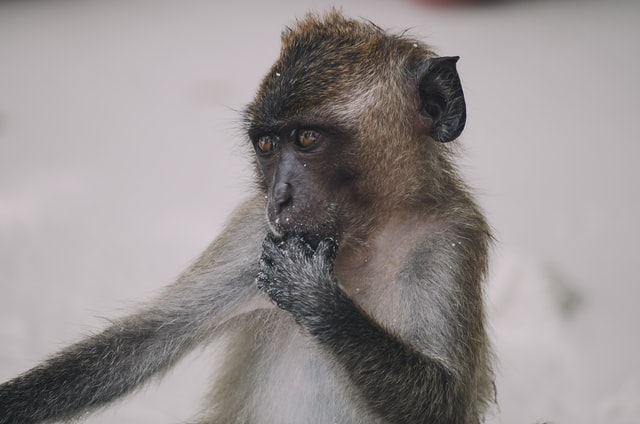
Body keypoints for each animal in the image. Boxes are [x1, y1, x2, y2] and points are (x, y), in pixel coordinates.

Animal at [0, 11, 494, 424]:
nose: (279, 197)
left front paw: (316, 296)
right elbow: (144, 341)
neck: (364, 234)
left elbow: (447, 401)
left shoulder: (450, 238)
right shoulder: (253, 232)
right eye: (267, 145)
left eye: (307, 138)